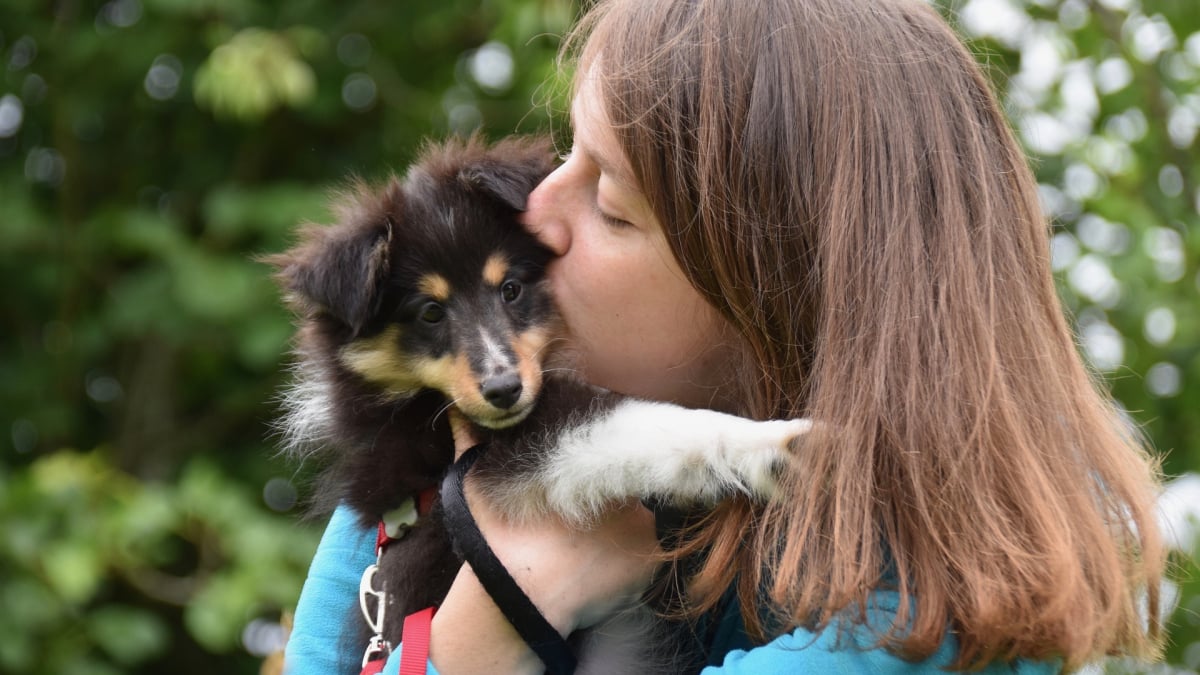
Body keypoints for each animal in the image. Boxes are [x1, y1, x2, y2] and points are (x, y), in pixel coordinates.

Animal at [272, 133, 811, 667]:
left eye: (510, 288)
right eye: (429, 312)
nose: (504, 389)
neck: (424, 404)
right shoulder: (512, 447)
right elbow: (642, 423)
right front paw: (776, 445)